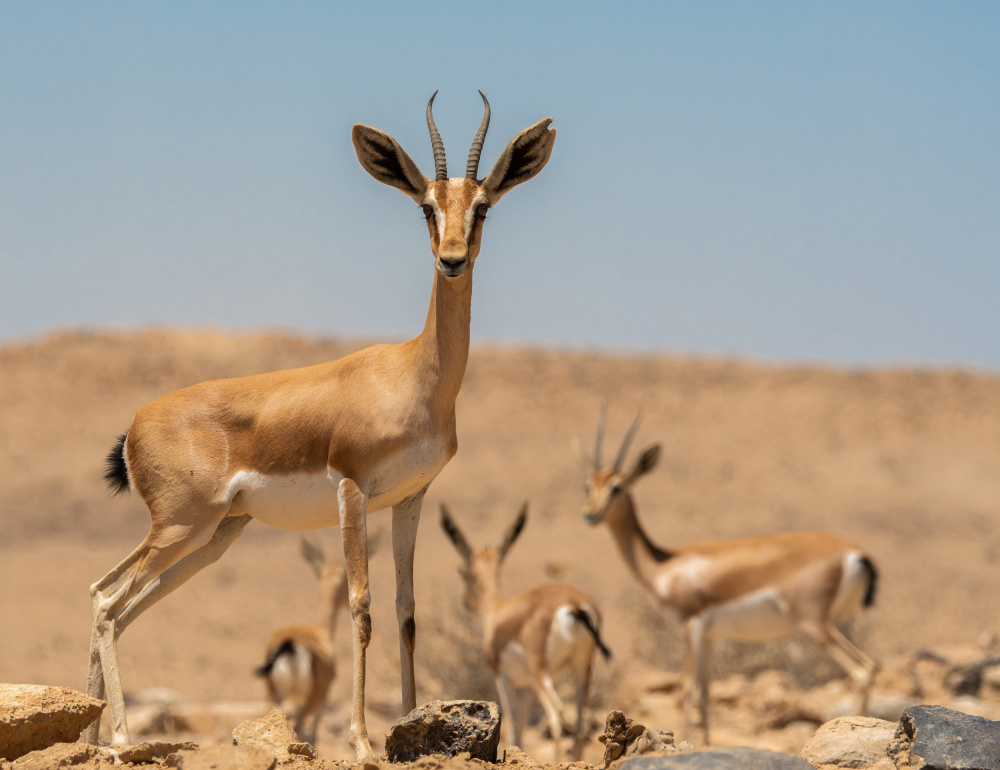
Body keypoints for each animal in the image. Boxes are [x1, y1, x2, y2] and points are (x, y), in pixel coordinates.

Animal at [255, 535, 349, 746]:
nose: (348, 602)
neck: (321, 631)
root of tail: (291, 645)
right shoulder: (321, 703)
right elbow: (313, 734)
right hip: (309, 702)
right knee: (300, 727)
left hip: (274, 695)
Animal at [440, 503, 611, 761]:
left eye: (461, 570)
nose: (467, 602)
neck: (497, 612)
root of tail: (574, 604)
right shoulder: (527, 687)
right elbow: (520, 730)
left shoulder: (502, 676)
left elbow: (512, 725)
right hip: (583, 668)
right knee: (581, 720)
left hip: (540, 671)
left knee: (556, 711)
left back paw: (557, 760)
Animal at [576, 410, 878, 745]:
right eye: (588, 486)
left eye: (617, 487)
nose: (590, 514)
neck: (665, 564)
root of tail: (856, 553)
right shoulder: (710, 636)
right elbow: (706, 691)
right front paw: (706, 743)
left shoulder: (691, 625)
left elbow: (688, 688)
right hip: (843, 622)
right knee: (870, 666)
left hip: (813, 626)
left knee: (862, 670)